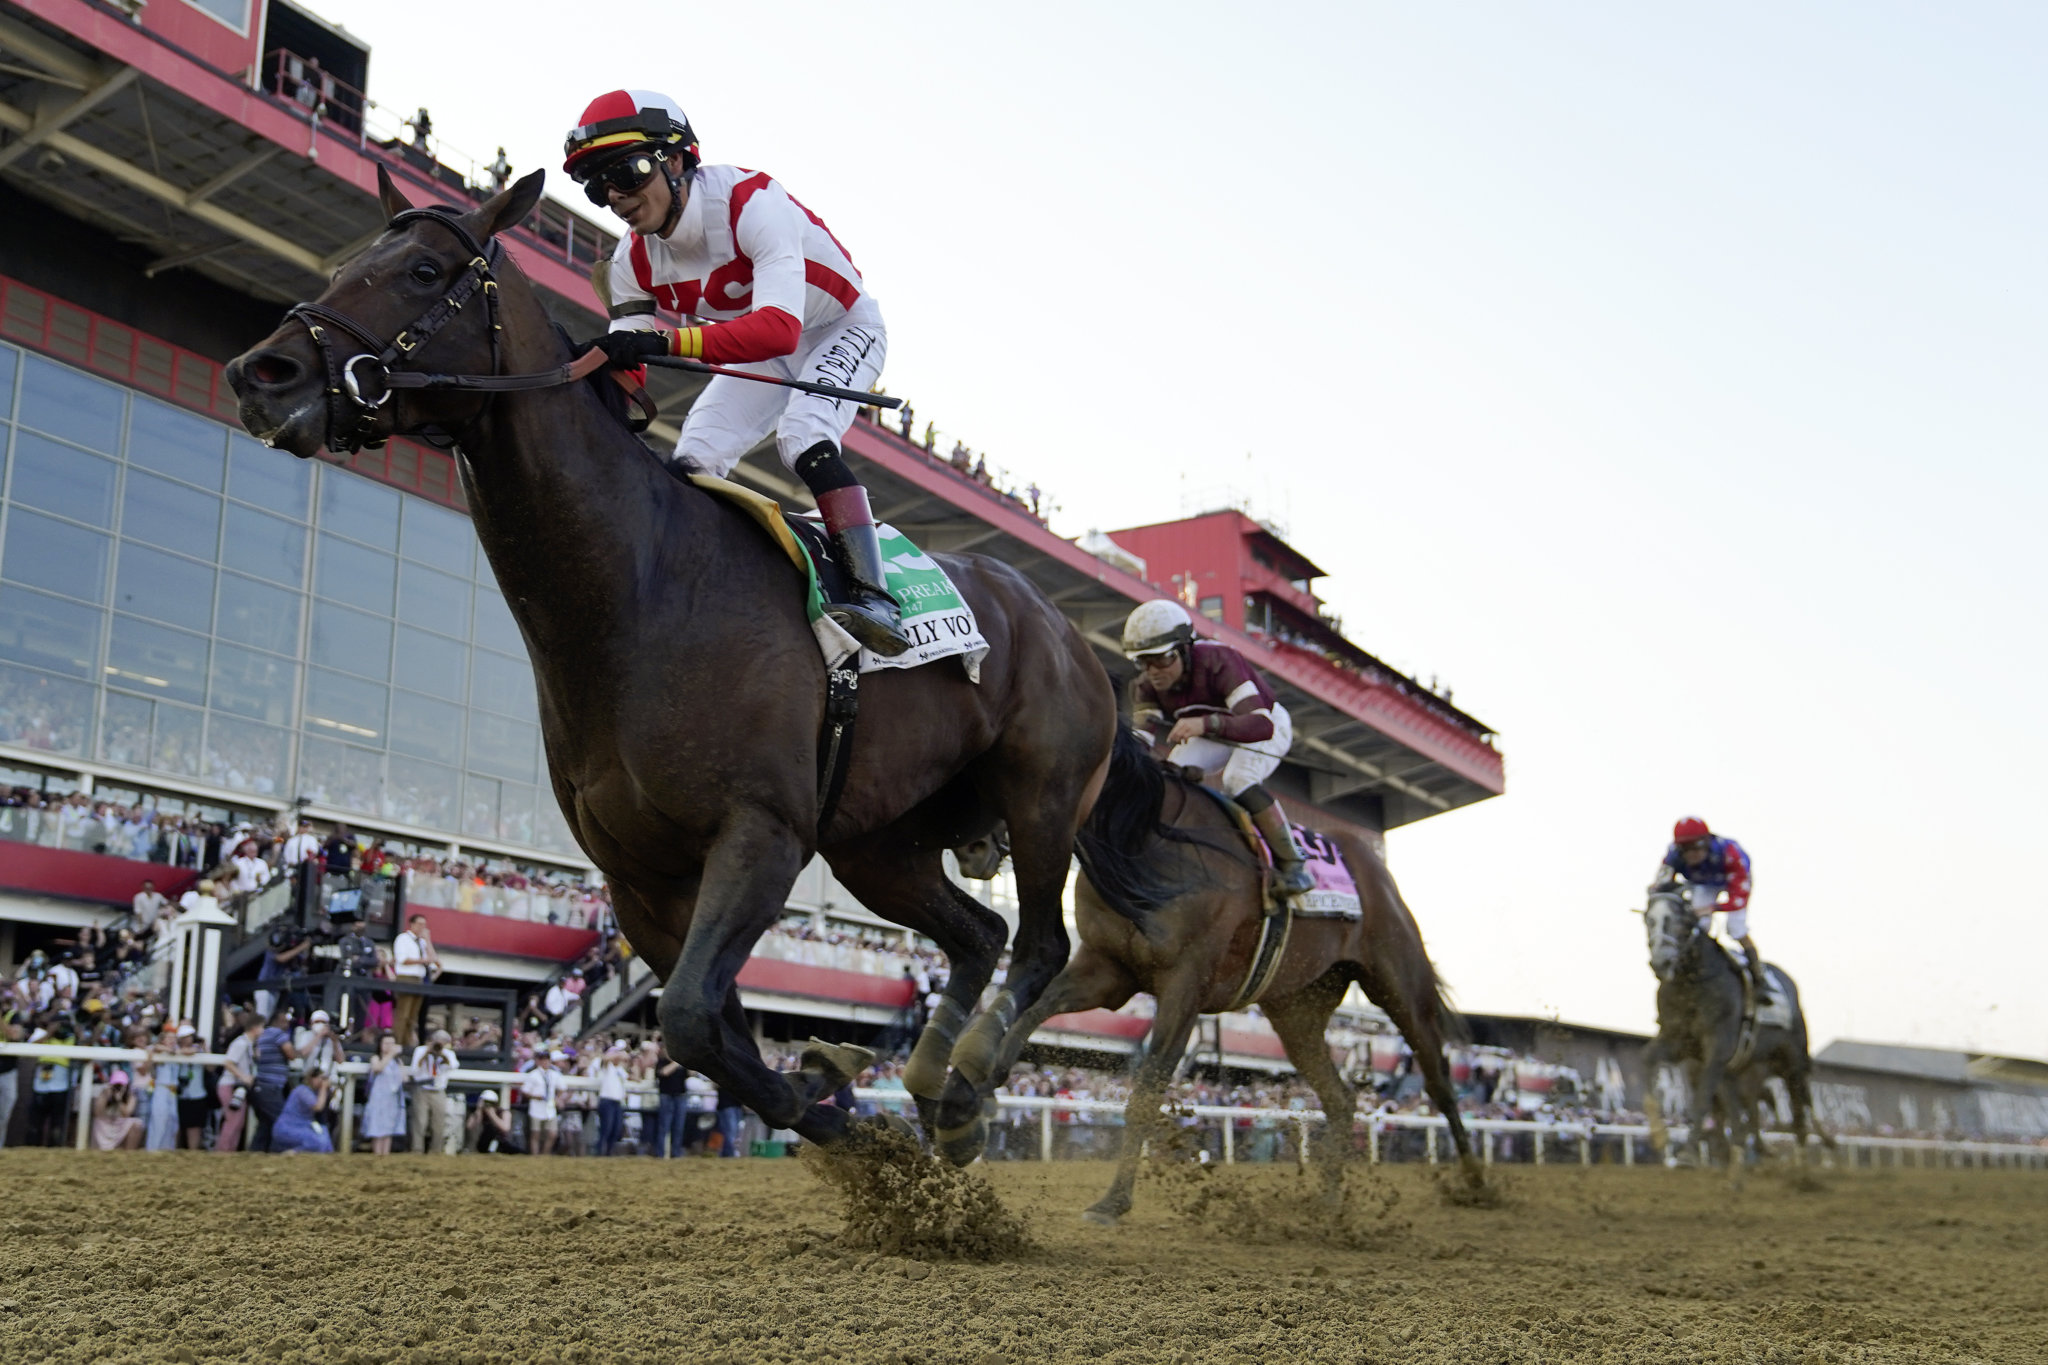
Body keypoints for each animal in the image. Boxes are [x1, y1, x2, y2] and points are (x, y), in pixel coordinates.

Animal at [1638, 892, 1835, 1170]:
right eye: (1648, 920)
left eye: (1681, 922)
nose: (1661, 962)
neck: (1692, 981)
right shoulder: (1678, 1041)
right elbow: (1646, 1060)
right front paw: (1658, 1134)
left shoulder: (1717, 1047)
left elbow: (1703, 1098)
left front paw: (1687, 1153)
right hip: (1741, 1068)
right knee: (1740, 1113)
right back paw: (1741, 1157)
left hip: (1792, 1062)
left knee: (1797, 1113)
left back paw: (1800, 1166)